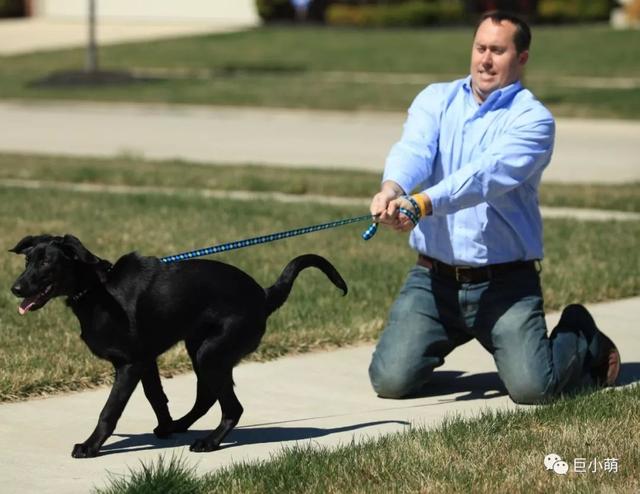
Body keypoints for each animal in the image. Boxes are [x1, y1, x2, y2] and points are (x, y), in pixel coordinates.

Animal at [10, 233, 348, 458]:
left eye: (47, 262)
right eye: (28, 260)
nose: (15, 288)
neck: (97, 288)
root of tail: (265, 296)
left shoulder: (129, 364)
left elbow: (110, 410)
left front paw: (91, 445)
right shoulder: (145, 360)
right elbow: (156, 397)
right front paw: (166, 426)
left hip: (211, 353)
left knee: (233, 407)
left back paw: (210, 442)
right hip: (200, 349)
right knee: (207, 398)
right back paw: (181, 426)